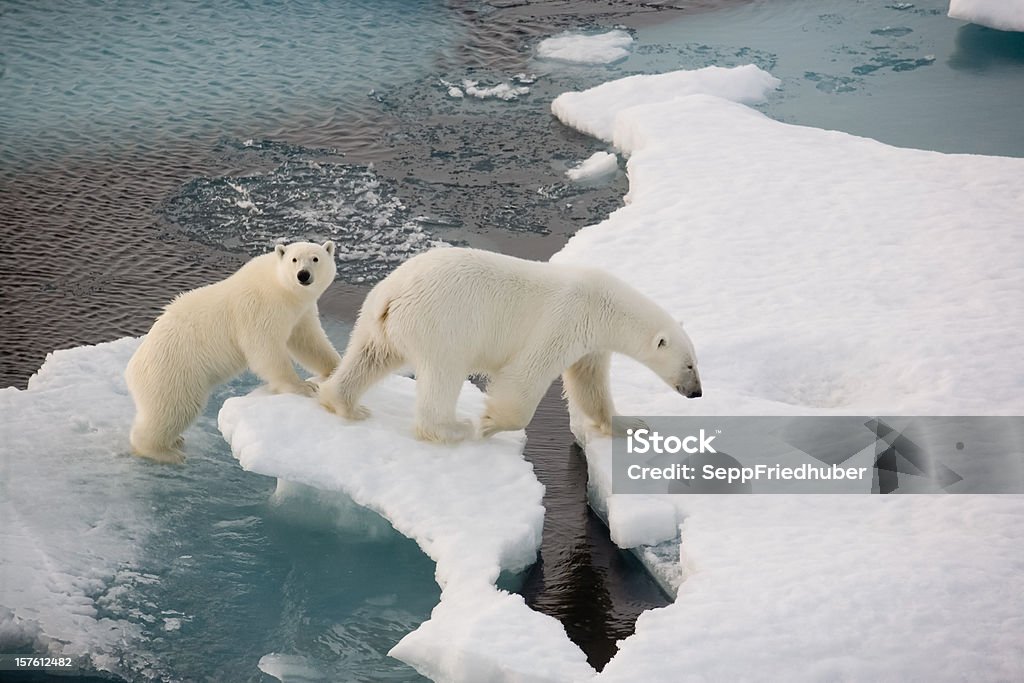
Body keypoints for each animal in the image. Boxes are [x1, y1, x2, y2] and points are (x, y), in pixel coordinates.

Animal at [125, 240, 342, 464]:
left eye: (315, 258)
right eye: (294, 259)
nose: (303, 275)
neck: (281, 290)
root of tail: (131, 371)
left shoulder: (300, 312)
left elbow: (308, 341)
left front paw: (336, 367)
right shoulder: (259, 308)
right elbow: (265, 348)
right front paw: (303, 386)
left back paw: (175, 441)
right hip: (174, 372)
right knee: (174, 408)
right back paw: (164, 451)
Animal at [319, 245, 704, 444]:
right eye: (689, 364)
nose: (697, 392)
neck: (603, 304)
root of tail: (393, 295)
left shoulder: (591, 343)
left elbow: (590, 386)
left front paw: (633, 424)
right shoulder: (566, 318)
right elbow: (525, 375)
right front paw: (490, 422)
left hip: (375, 320)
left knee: (369, 356)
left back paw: (345, 403)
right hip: (442, 324)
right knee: (444, 374)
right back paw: (453, 428)